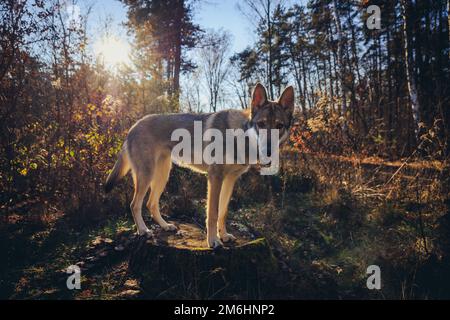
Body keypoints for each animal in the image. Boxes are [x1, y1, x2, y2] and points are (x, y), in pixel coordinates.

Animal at [105, 82, 296, 248]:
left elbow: (223, 212)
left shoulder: (230, 180)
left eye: (279, 126)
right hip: (147, 176)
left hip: (162, 176)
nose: (268, 151)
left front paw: (224, 236)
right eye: (261, 124)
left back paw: (166, 226)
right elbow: (212, 213)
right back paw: (144, 230)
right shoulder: (215, 177)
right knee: (134, 205)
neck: (240, 135)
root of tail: (132, 127)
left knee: (151, 204)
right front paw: (213, 241)